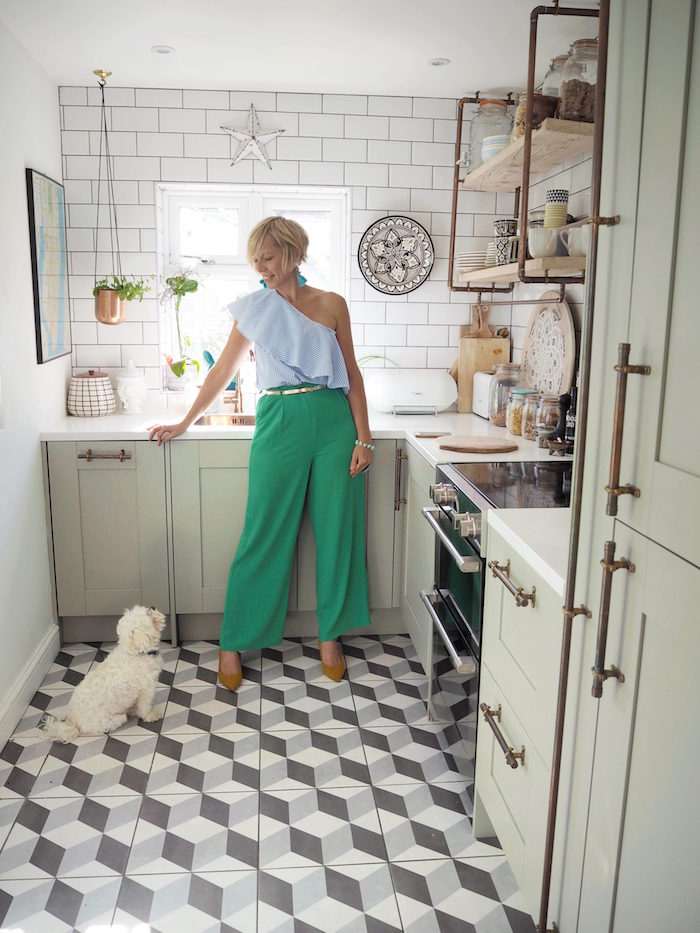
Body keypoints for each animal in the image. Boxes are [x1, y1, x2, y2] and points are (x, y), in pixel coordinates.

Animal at [42, 604, 167, 744]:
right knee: (116, 721)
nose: (153, 606)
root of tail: (73, 722)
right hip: (107, 721)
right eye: (147, 613)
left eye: (145, 608)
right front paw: (151, 716)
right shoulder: (146, 689)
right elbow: (145, 707)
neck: (136, 653)